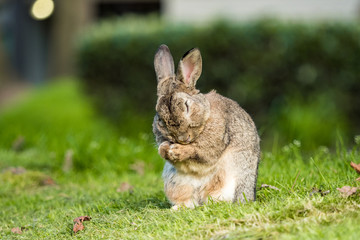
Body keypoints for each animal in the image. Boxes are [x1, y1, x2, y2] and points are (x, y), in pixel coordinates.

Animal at [153, 44, 260, 209]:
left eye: (187, 106)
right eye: (160, 118)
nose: (182, 138)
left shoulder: (214, 143)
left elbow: (200, 152)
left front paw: (177, 150)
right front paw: (166, 149)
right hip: (175, 185)